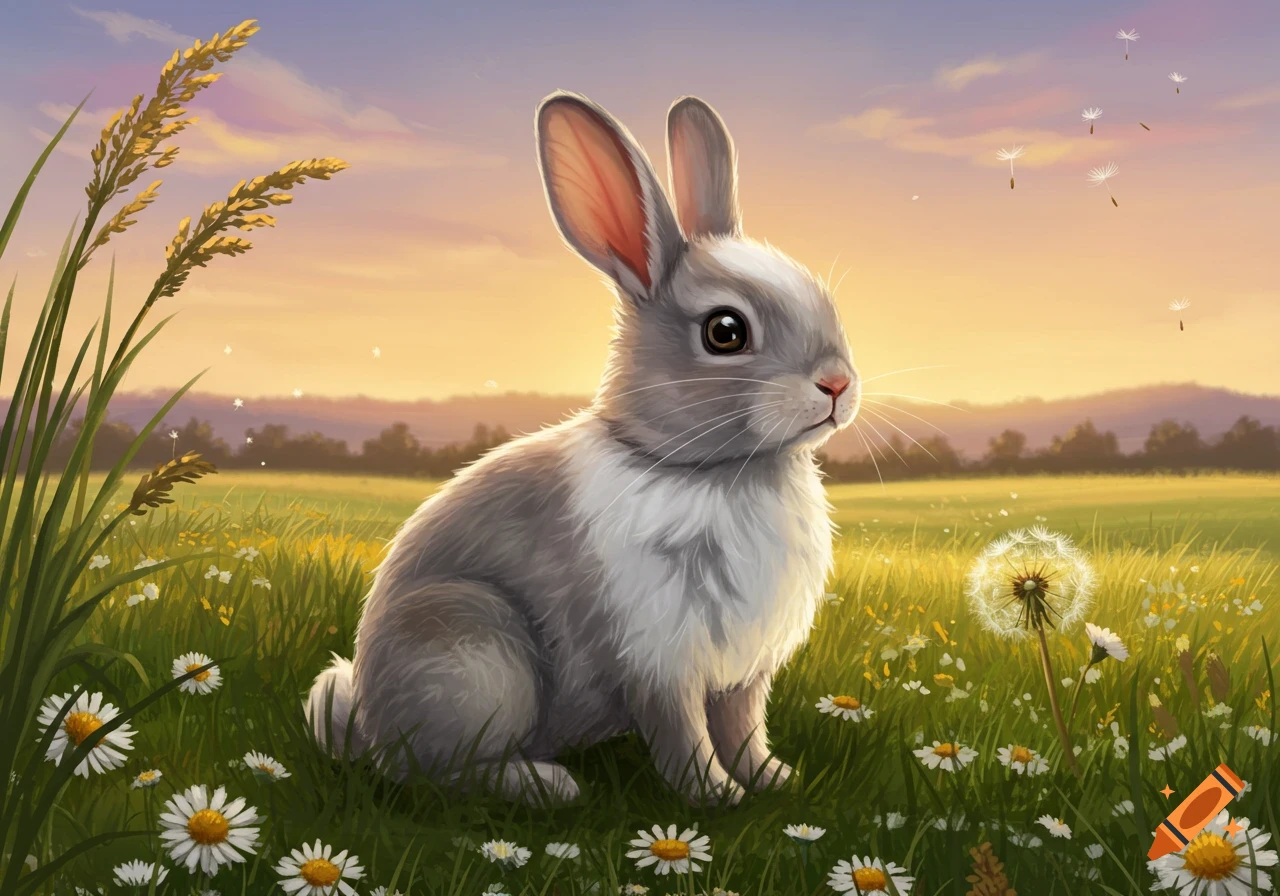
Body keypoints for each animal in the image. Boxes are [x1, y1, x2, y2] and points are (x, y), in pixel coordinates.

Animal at [306, 90, 860, 807]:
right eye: (726, 331)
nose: (838, 384)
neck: (716, 471)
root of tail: (368, 720)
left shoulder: (743, 672)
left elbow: (743, 728)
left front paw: (776, 781)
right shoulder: (658, 658)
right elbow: (684, 735)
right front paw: (715, 798)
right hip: (473, 652)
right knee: (432, 772)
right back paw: (550, 786)